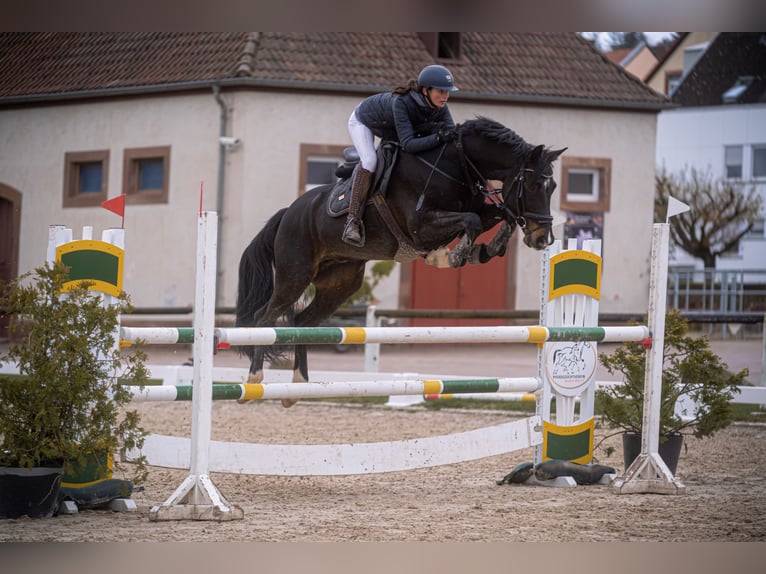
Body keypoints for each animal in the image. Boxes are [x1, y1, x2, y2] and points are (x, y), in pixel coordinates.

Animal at [237, 116, 568, 404]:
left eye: (552, 187)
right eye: (534, 185)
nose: (543, 239)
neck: (456, 166)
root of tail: (287, 213)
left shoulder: (475, 210)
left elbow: (500, 215)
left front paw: (484, 250)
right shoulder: (421, 226)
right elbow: (473, 220)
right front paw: (451, 256)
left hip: (341, 283)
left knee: (301, 322)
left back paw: (297, 388)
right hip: (296, 274)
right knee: (265, 319)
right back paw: (254, 381)